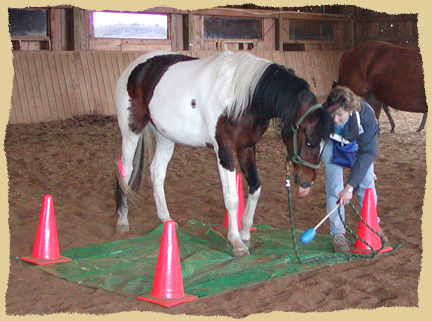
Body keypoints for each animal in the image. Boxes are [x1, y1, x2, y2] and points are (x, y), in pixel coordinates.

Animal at [115, 49, 334, 255]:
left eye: (325, 143)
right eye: (309, 142)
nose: (306, 183)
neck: (243, 98)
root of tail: (134, 67)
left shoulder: (247, 147)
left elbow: (255, 187)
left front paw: (245, 232)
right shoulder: (225, 150)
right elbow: (231, 198)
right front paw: (236, 243)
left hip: (165, 137)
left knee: (157, 173)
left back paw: (166, 219)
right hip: (131, 131)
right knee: (125, 170)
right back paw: (123, 220)